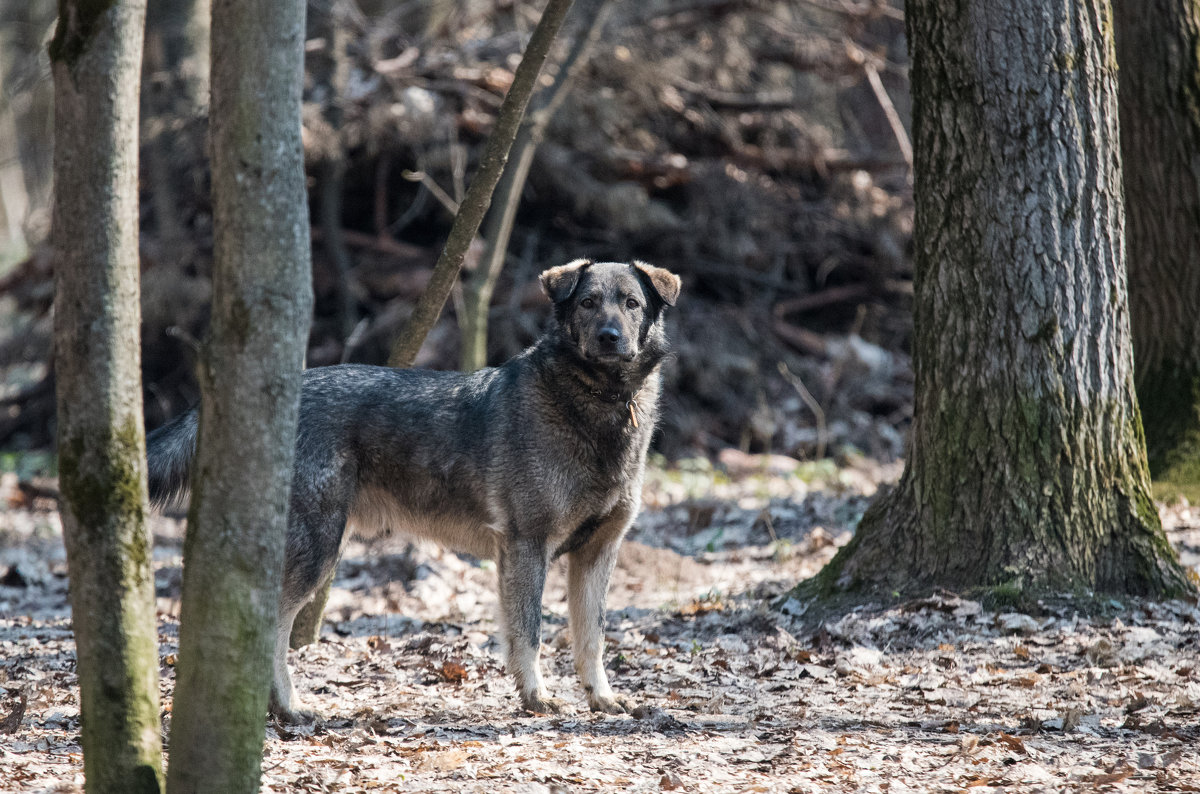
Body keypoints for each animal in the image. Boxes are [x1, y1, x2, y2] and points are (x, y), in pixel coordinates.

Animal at [145, 260, 681, 719]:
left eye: (631, 304)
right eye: (588, 303)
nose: (610, 337)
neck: (598, 407)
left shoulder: (596, 554)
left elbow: (592, 639)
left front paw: (602, 699)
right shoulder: (527, 547)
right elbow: (528, 635)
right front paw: (536, 698)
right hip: (318, 551)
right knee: (273, 630)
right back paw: (289, 708)